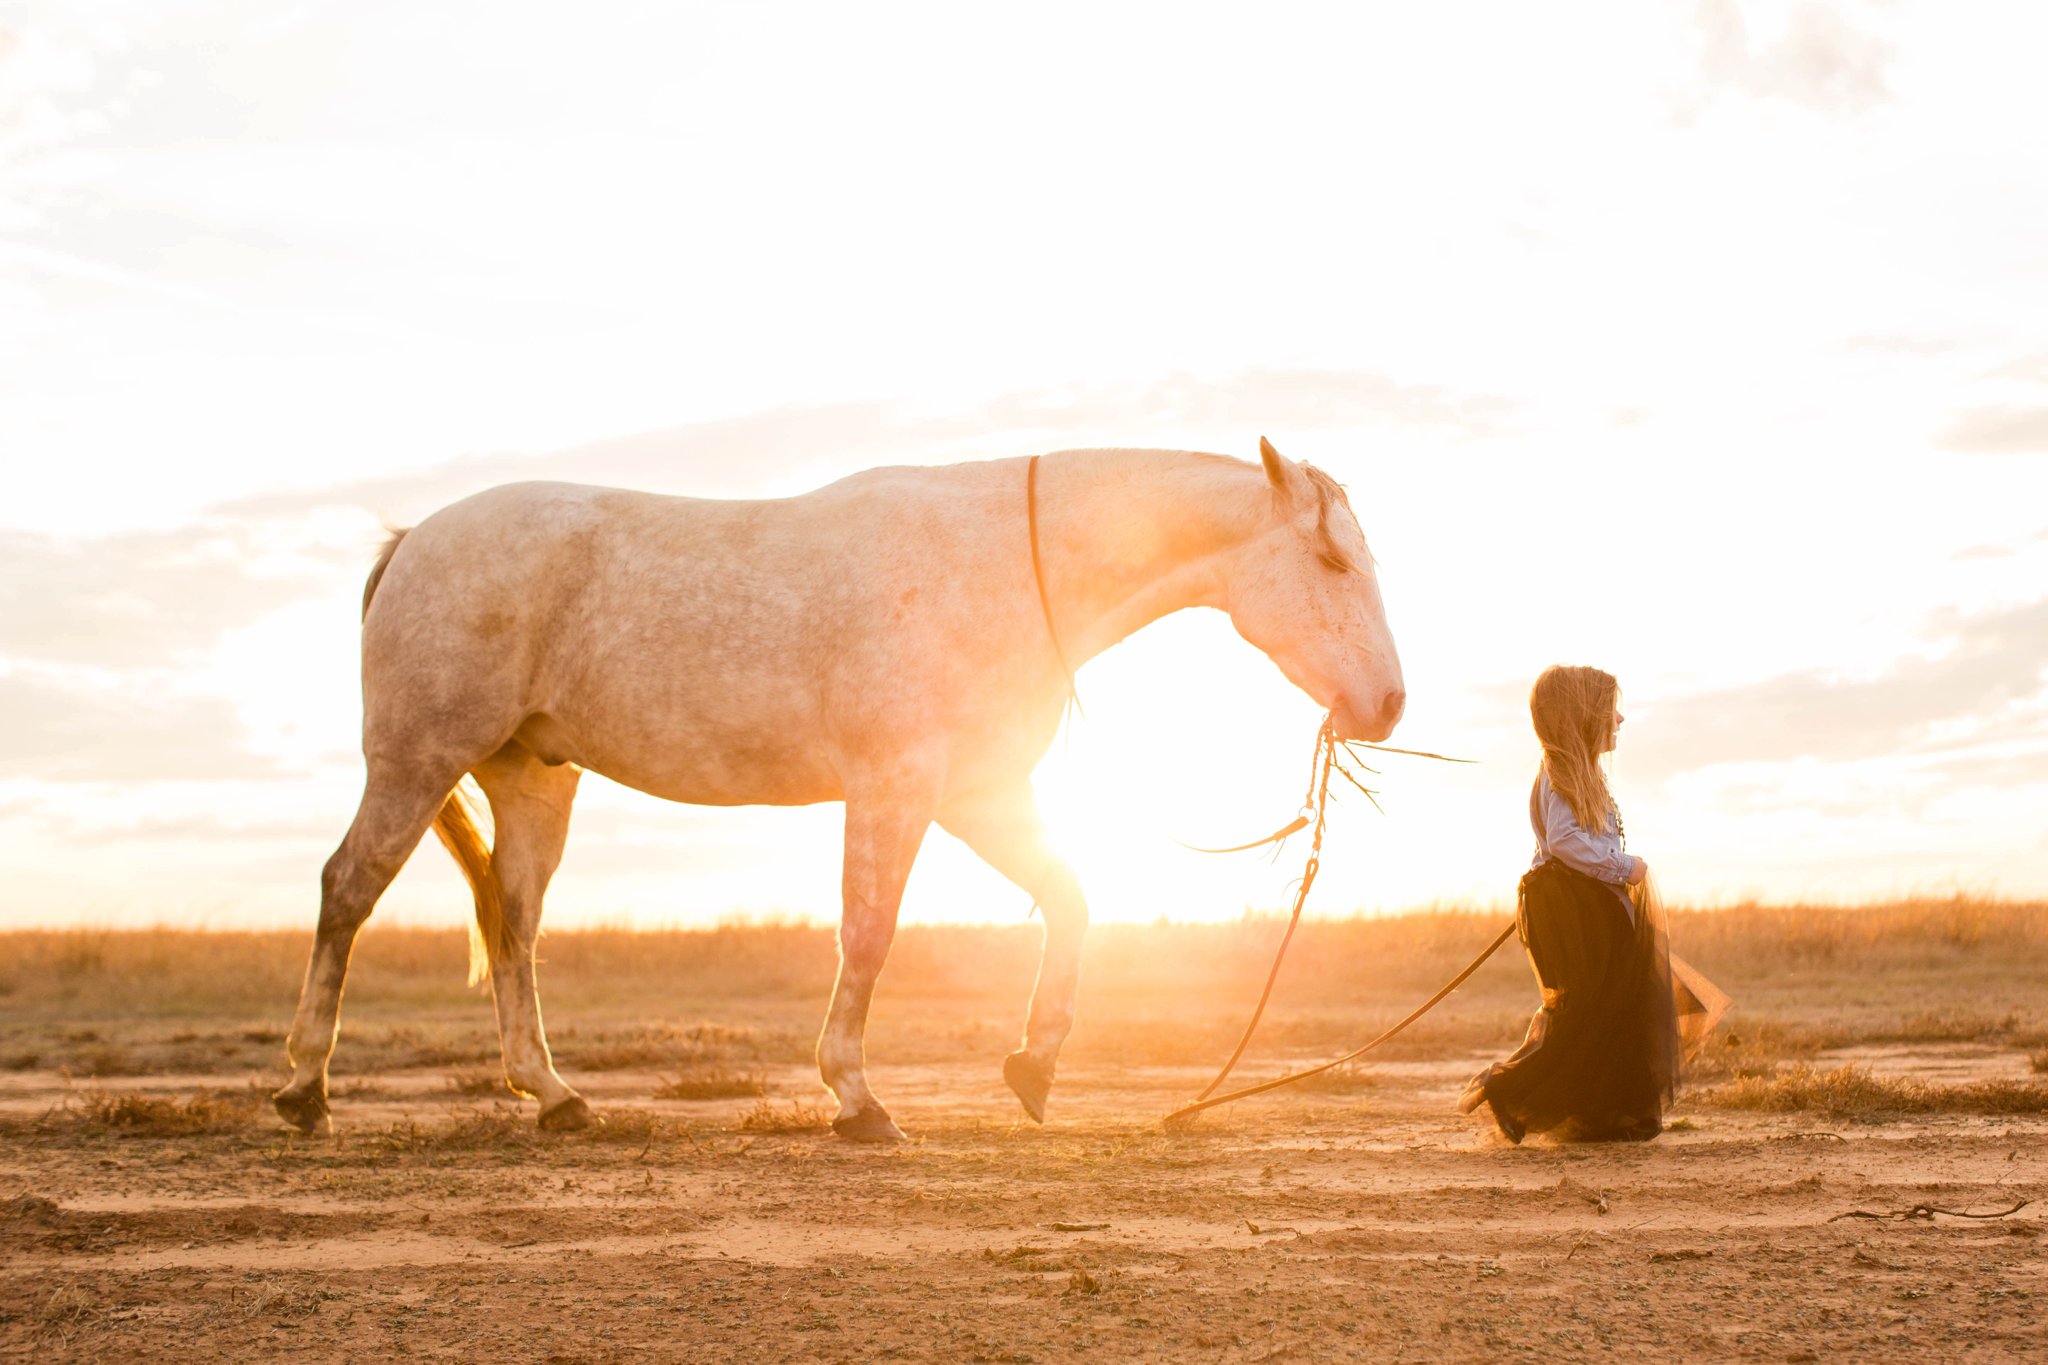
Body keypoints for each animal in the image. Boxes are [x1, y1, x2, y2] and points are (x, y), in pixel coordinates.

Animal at [272, 439, 1400, 1146]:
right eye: (1329, 557)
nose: (1386, 703)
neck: (997, 566)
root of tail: (413, 541)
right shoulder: (895, 787)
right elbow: (868, 931)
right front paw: (856, 1100)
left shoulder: (975, 793)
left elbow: (1070, 898)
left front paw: (1032, 1065)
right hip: (417, 761)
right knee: (349, 890)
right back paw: (304, 1089)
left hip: (530, 780)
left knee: (512, 920)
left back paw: (553, 1097)